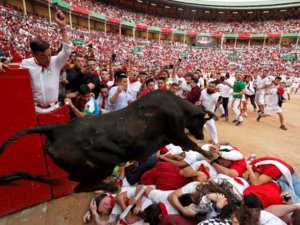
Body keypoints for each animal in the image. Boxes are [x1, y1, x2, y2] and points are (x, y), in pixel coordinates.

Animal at [0, 89, 217, 192]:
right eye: (201, 121)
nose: (200, 134)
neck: (177, 106)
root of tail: (56, 128)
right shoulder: (177, 133)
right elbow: (192, 146)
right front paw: (212, 154)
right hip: (103, 164)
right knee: (79, 185)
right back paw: (112, 186)